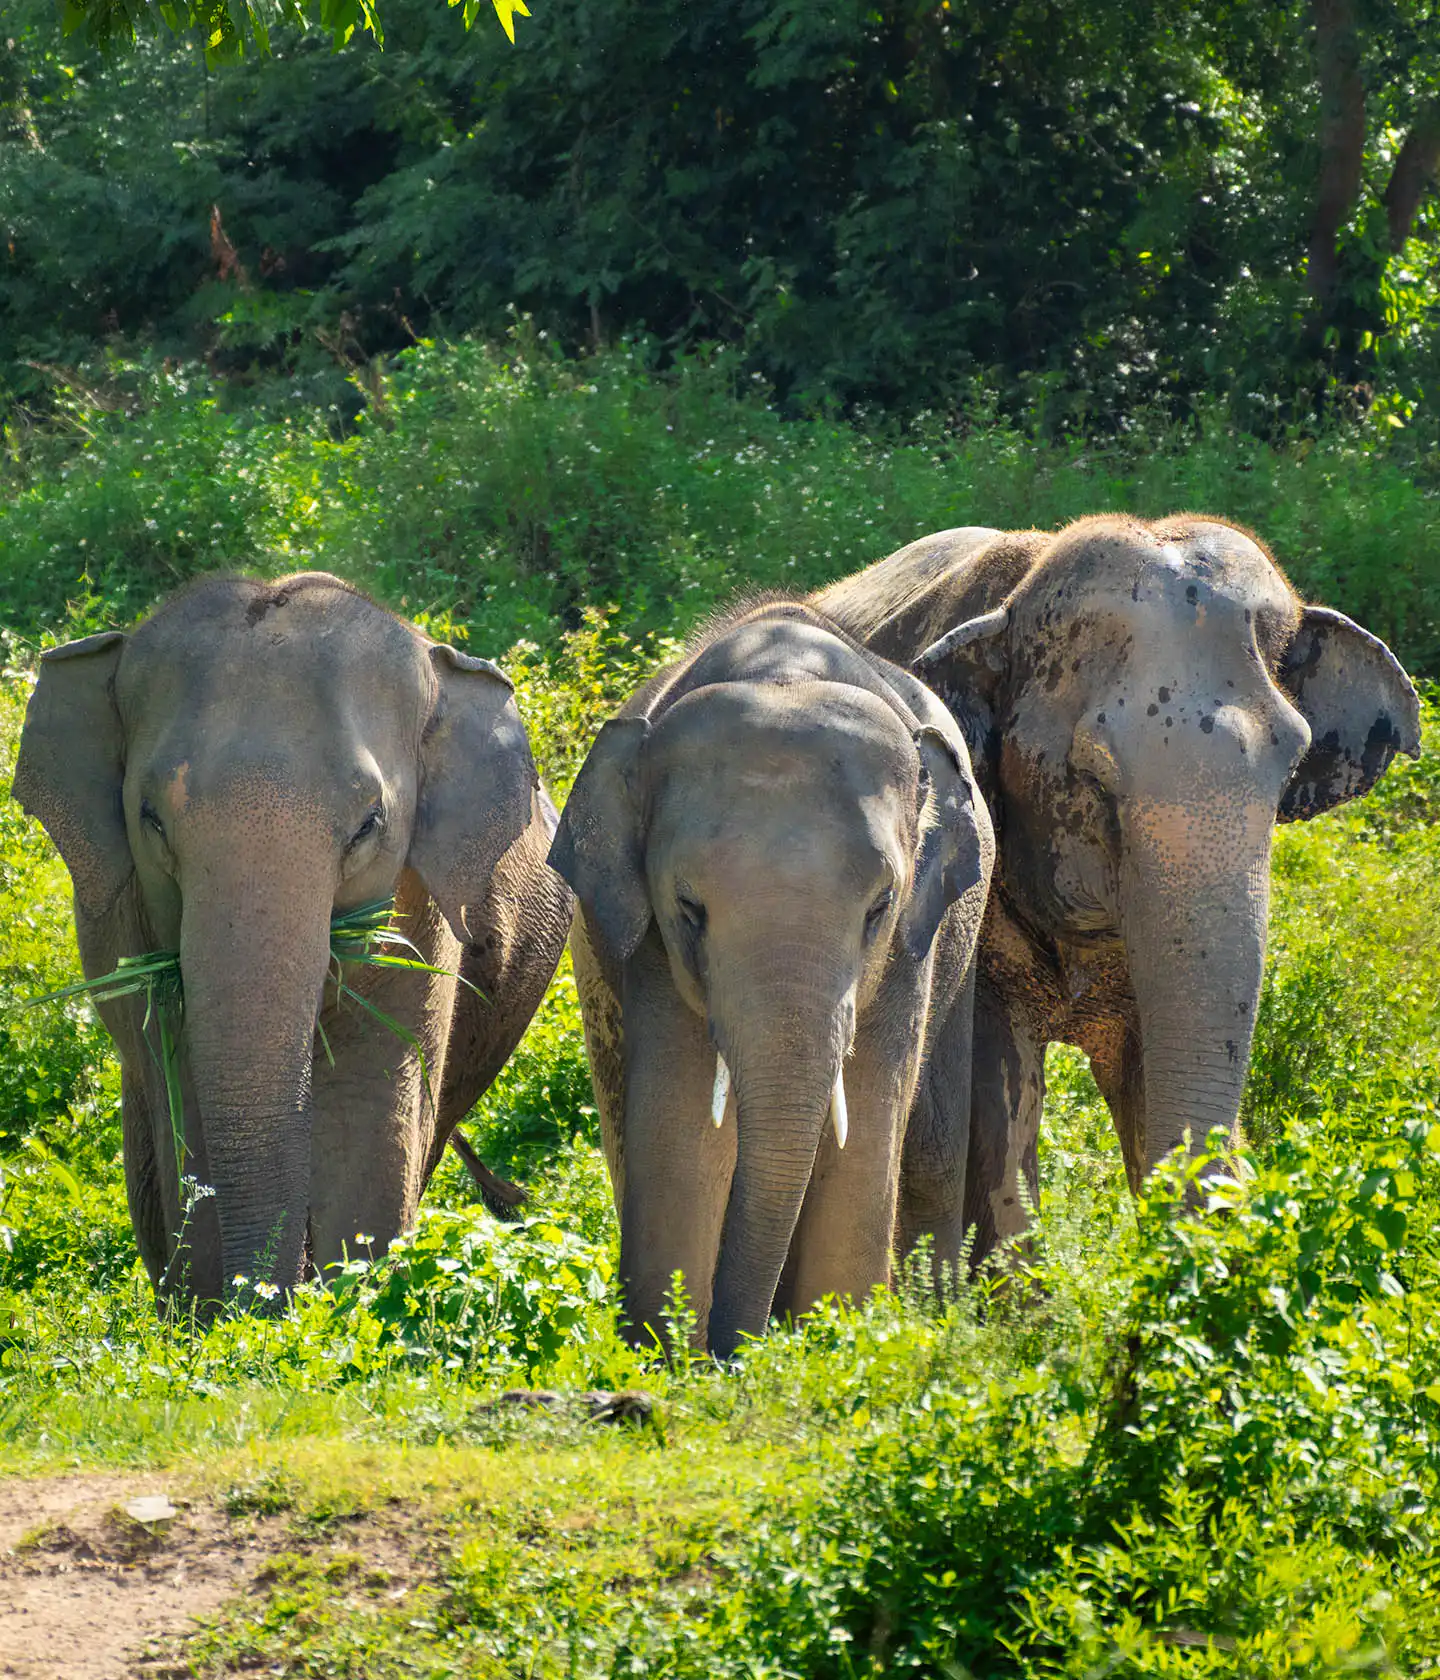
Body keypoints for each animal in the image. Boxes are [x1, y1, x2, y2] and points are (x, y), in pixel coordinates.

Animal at [13, 572, 574, 1308]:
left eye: (368, 825)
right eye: (151, 820)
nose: (275, 1300)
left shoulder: (419, 904)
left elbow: (371, 1091)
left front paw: (348, 1309)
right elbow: (185, 1092)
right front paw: (220, 1318)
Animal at [548, 600, 995, 1359]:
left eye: (879, 908)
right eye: (688, 909)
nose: (736, 1355)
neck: (786, 671)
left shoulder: (911, 948)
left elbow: (865, 1128)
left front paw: (839, 1346)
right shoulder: (651, 951)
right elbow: (683, 1129)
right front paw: (663, 1359)